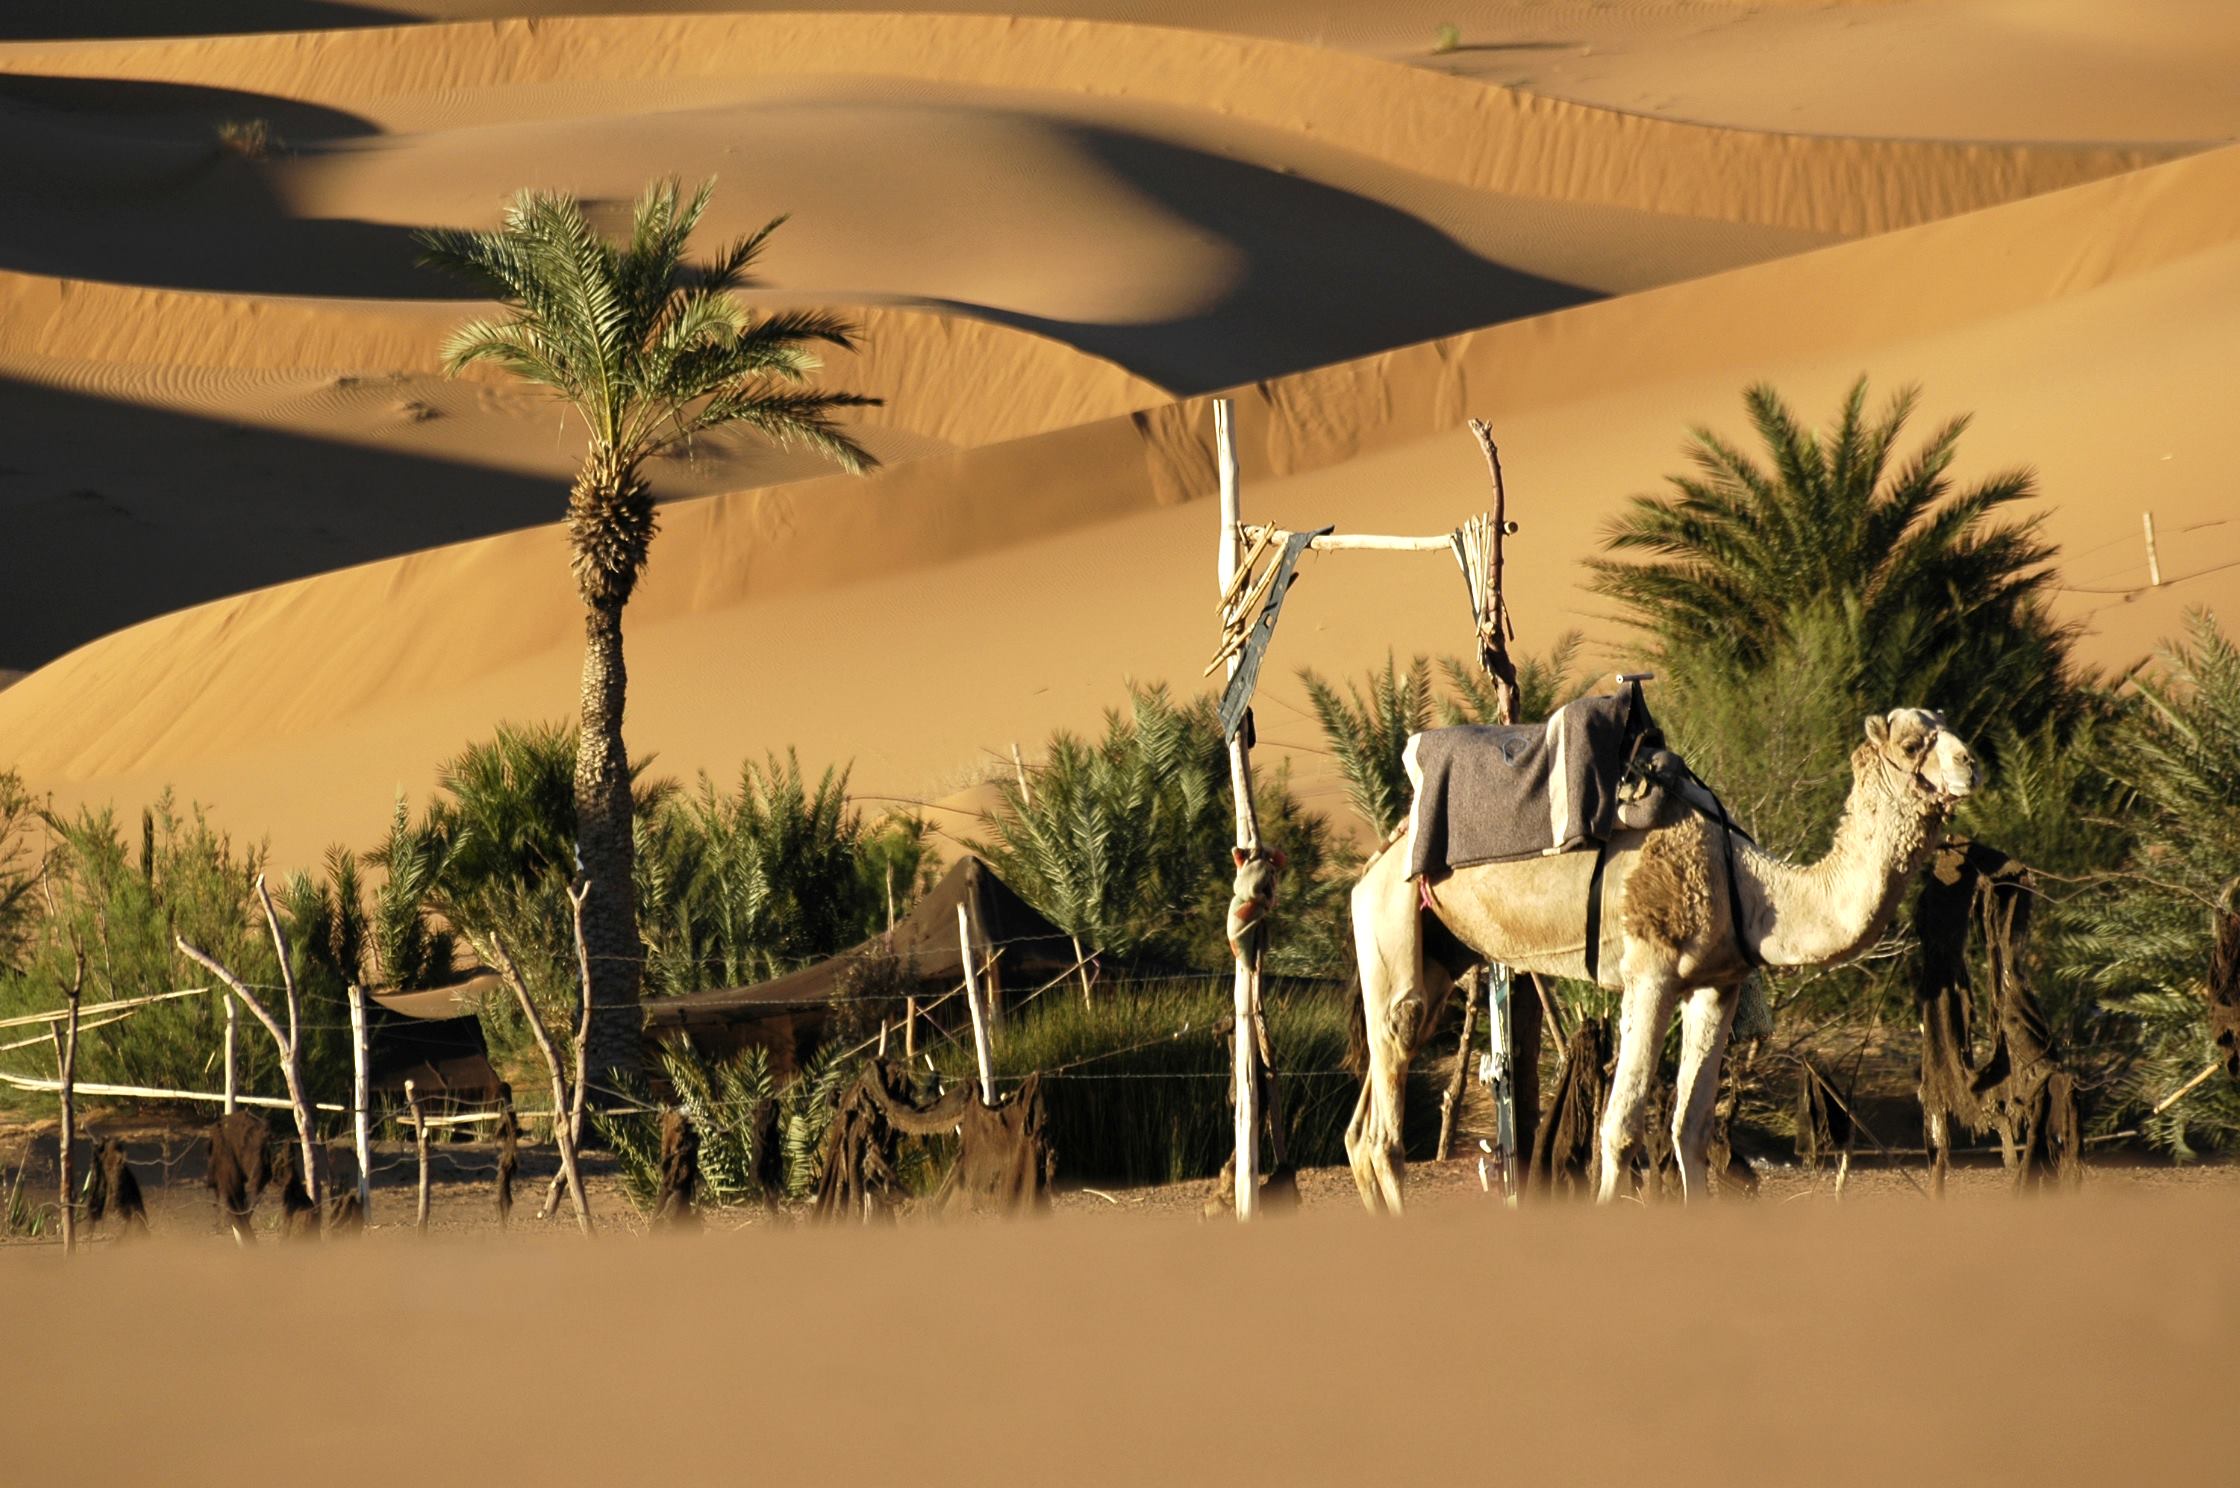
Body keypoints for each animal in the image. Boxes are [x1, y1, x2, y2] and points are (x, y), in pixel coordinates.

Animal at [1344, 708, 1980, 1210]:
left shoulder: (1717, 985)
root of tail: (1377, 859)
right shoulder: (1650, 973)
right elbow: (1621, 1127)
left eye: (1945, 725)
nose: (1971, 764)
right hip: (1390, 922)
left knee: (1361, 1126)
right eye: (1911, 744)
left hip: (1438, 952)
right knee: (1384, 1126)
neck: (1746, 886)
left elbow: (1690, 1129)